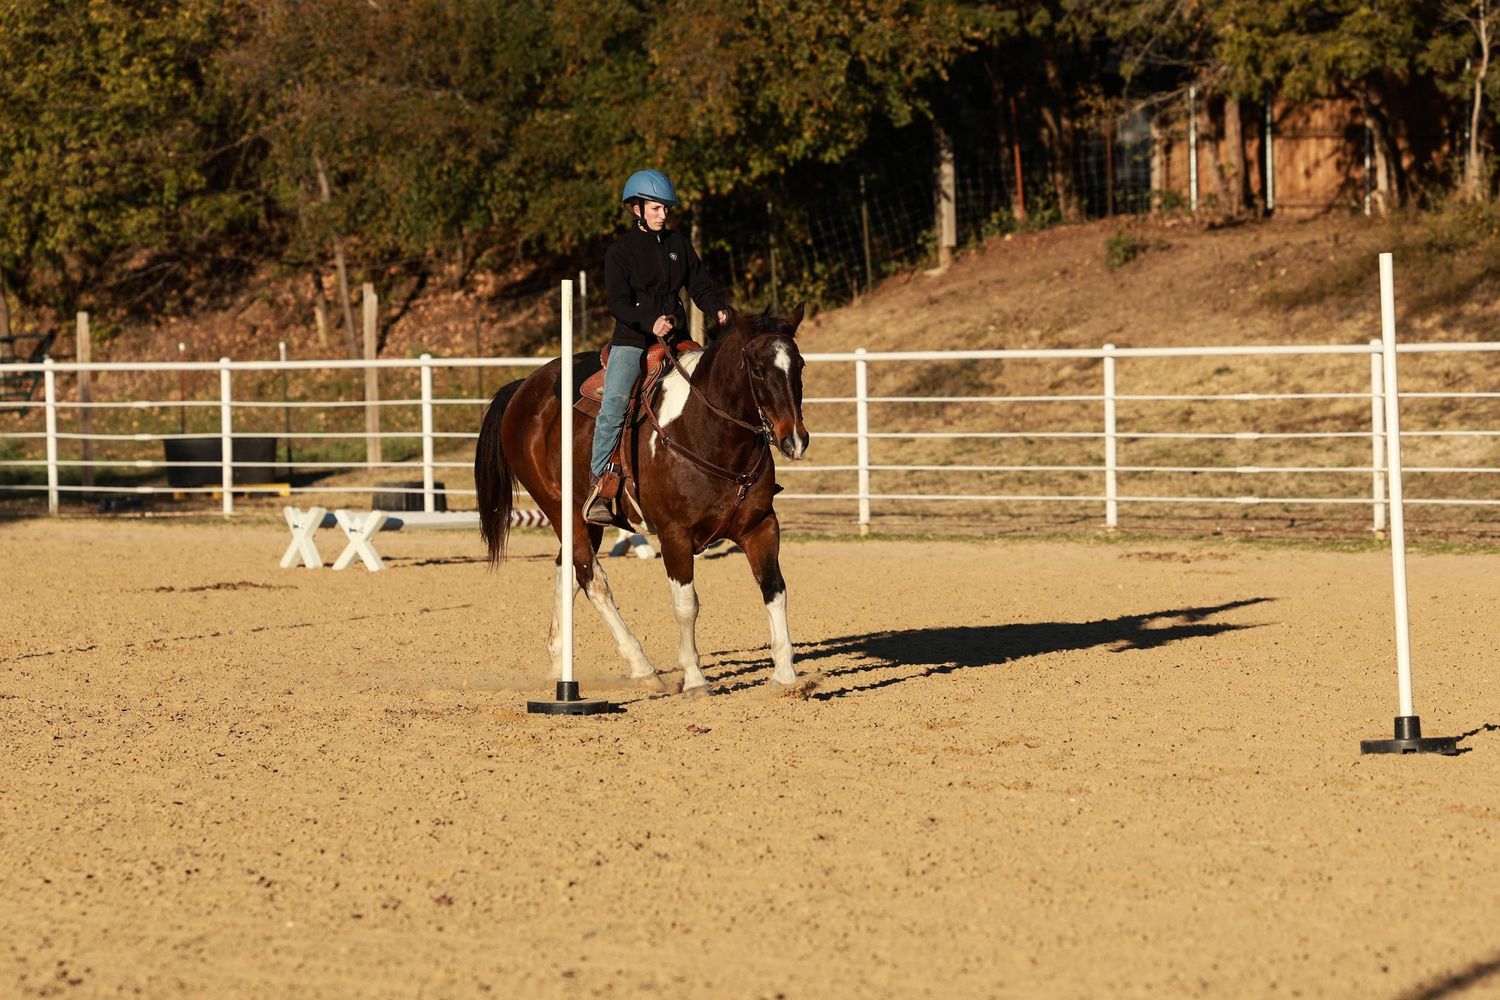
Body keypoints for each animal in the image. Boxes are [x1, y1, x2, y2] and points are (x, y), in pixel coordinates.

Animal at [474, 305, 812, 697]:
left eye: (799, 364)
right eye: (756, 368)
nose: (795, 439)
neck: (707, 431)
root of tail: (524, 387)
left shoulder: (761, 525)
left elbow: (775, 590)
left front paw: (786, 676)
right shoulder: (674, 535)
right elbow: (686, 604)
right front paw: (695, 679)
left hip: (587, 521)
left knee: (567, 571)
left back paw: (559, 663)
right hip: (561, 509)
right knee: (592, 579)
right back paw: (642, 667)